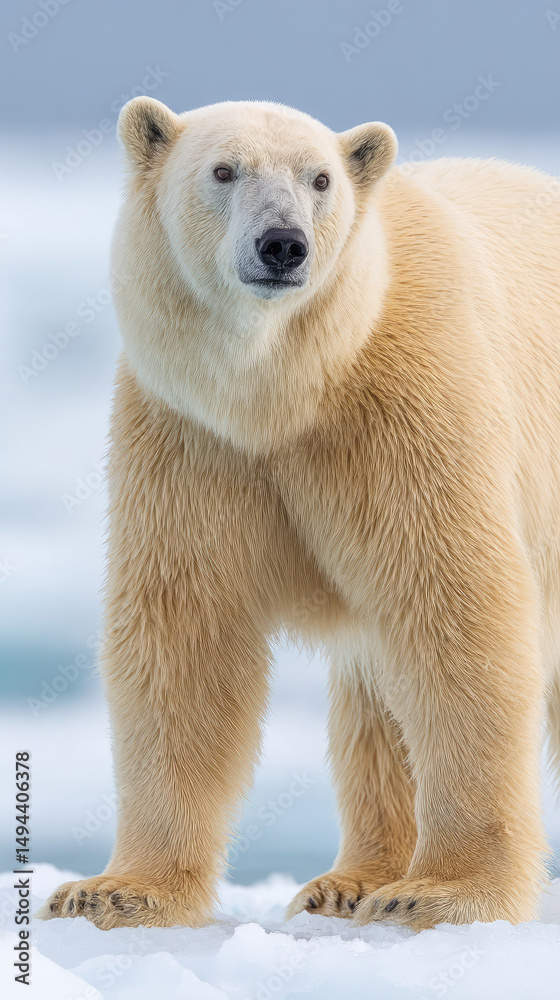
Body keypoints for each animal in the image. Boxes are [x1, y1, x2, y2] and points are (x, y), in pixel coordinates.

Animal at [38, 97, 560, 931]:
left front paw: (439, 893)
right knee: (370, 691)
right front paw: (113, 889)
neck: (292, 387)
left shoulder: (413, 403)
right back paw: (345, 881)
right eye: (224, 170)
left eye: (320, 179)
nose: (283, 244)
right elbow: (184, 631)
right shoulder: (192, 438)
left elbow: (454, 608)